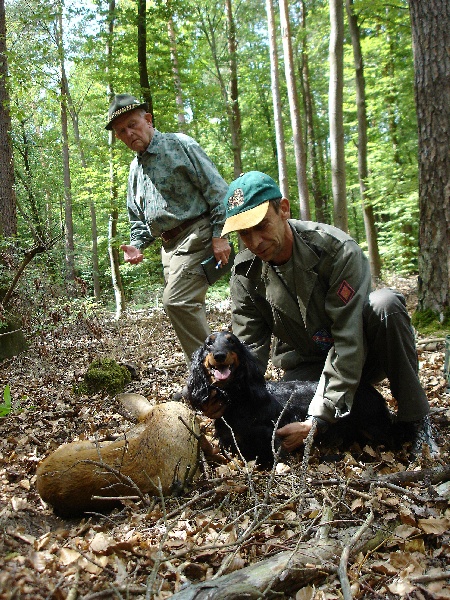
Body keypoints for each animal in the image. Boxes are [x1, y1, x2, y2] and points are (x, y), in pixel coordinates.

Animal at [185, 330, 392, 466]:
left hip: (375, 428)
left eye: (232, 342)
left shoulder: (271, 442)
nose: (219, 355)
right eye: (209, 343)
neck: (237, 399)